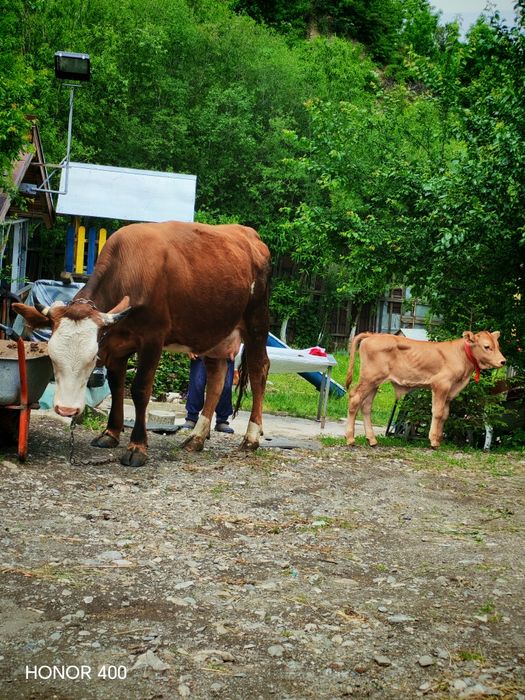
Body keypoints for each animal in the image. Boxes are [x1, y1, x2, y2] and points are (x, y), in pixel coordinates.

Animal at [13, 221, 271, 466]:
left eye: (91, 360)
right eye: (53, 358)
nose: (66, 410)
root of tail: (250, 235)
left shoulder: (152, 339)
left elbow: (139, 390)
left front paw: (137, 447)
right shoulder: (117, 345)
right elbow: (117, 386)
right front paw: (111, 433)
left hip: (256, 322)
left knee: (259, 370)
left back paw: (250, 438)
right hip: (213, 332)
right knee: (217, 378)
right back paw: (196, 438)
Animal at [345, 330, 506, 449]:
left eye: (498, 346)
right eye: (487, 347)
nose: (503, 361)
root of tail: (372, 335)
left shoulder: (450, 392)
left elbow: (445, 414)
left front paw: (439, 439)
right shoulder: (441, 384)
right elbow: (438, 412)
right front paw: (433, 441)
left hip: (374, 383)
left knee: (366, 406)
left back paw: (372, 440)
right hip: (369, 378)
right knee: (355, 399)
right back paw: (350, 438)